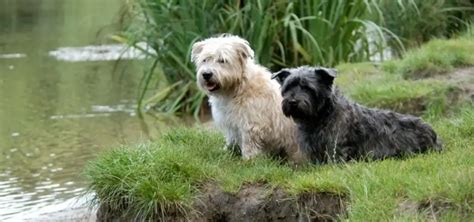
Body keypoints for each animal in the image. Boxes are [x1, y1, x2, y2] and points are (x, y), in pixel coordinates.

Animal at [191, 33, 302, 161]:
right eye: (205, 60)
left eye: (222, 60)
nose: (206, 74)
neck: (238, 88)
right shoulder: (232, 123)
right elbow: (231, 138)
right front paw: (226, 151)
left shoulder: (251, 124)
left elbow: (249, 143)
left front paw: (248, 159)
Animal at [272, 66, 442, 163]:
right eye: (288, 87)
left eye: (307, 88)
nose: (292, 101)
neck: (320, 116)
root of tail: (434, 135)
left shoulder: (336, 149)